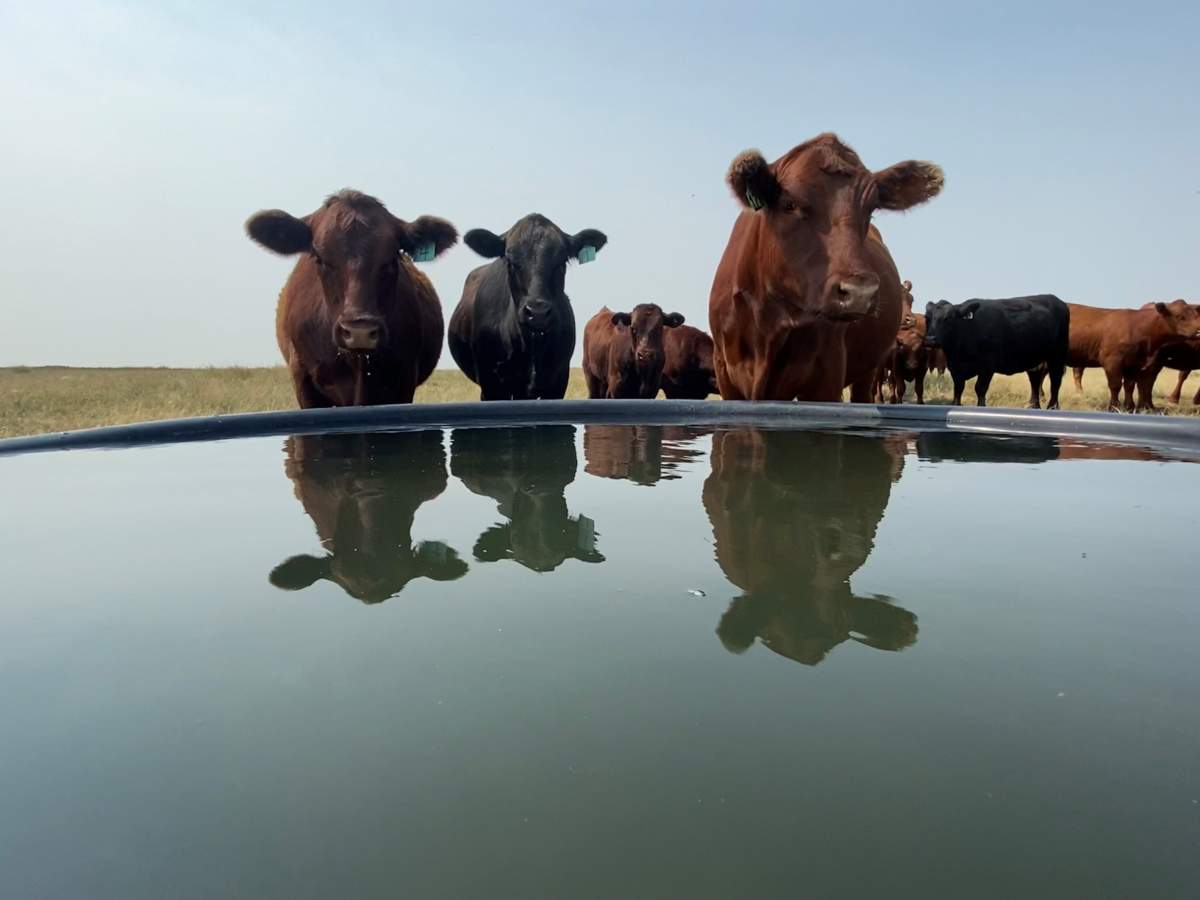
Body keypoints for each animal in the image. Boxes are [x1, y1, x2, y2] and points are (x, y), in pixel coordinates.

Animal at [924, 295, 1070, 408]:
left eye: (948, 319)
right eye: (928, 318)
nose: (930, 339)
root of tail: (1057, 300)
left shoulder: (987, 367)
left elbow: (980, 389)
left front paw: (981, 406)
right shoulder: (956, 369)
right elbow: (958, 390)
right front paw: (956, 405)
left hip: (1057, 356)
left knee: (1055, 381)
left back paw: (1052, 406)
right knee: (1035, 379)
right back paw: (1033, 405)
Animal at [1065, 301, 1200, 412]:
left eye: (1195, 315)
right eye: (1180, 317)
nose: (1198, 331)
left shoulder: (1133, 363)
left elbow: (1129, 385)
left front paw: (1129, 406)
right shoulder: (1112, 361)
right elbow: (1115, 385)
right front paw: (1114, 407)